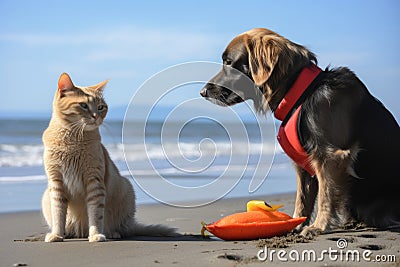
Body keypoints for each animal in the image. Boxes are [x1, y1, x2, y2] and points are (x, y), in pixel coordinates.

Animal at [41, 73, 177, 243]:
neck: (72, 140)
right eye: (83, 105)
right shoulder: (56, 183)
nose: (96, 116)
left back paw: (112, 233)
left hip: (126, 188)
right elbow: (58, 213)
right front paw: (57, 234)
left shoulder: (94, 182)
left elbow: (95, 214)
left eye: (100, 107)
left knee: (120, 228)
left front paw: (96, 234)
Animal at [202, 28, 398, 236]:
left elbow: (326, 195)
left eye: (229, 62)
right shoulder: (304, 164)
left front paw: (319, 226)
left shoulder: (330, 157)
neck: (302, 94)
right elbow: (302, 199)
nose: (202, 92)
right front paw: (295, 224)